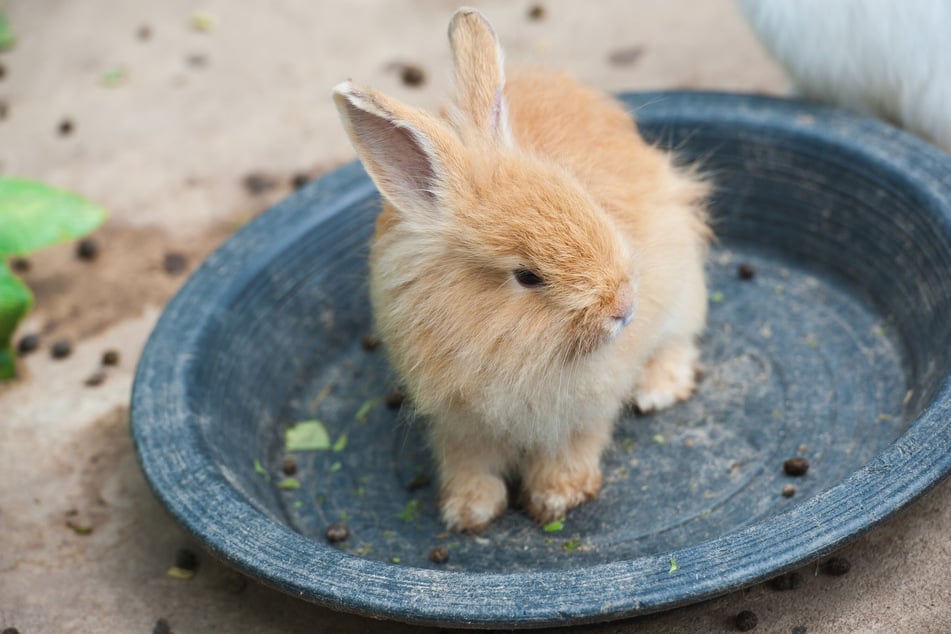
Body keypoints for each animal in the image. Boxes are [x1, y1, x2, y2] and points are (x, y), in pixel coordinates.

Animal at [330, 7, 712, 532]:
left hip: (683, 288)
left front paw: (557, 497)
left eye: (586, 200)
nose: (625, 307)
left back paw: (657, 390)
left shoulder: (582, 413)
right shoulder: (461, 423)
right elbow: (468, 461)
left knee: (678, 344)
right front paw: (469, 510)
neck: (508, 351)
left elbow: (572, 448)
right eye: (527, 276)